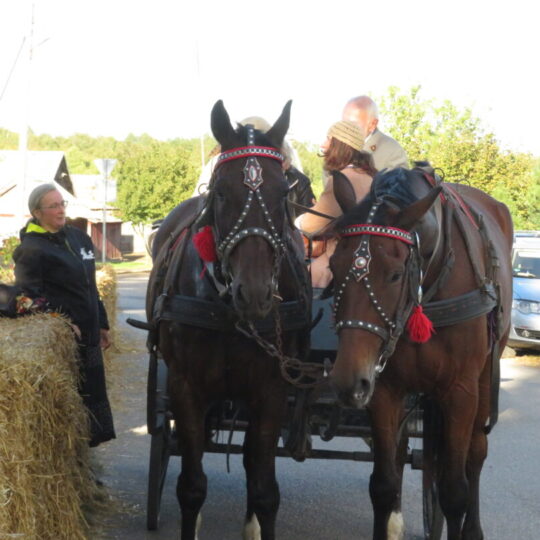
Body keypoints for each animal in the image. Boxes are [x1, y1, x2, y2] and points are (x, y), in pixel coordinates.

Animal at [147, 100, 311, 540]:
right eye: (221, 192)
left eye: (283, 192)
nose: (254, 293)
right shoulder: (186, 388)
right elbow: (191, 487)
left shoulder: (271, 392)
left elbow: (265, 490)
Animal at [326, 166, 512, 540]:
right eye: (334, 268)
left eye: (396, 275)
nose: (347, 382)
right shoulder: (383, 390)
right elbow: (383, 484)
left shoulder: (460, 392)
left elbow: (454, 492)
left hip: (486, 374)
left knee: (475, 455)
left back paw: (473, 528)